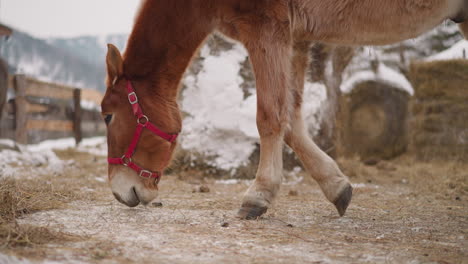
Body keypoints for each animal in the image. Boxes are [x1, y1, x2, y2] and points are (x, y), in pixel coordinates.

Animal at [102, 0, 468, 219]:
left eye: (107, 116)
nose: (119, 192)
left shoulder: (266, 27)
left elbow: (270, 115)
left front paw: (259, 194)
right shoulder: (296, 38)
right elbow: (291, 118)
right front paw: (336, 185)